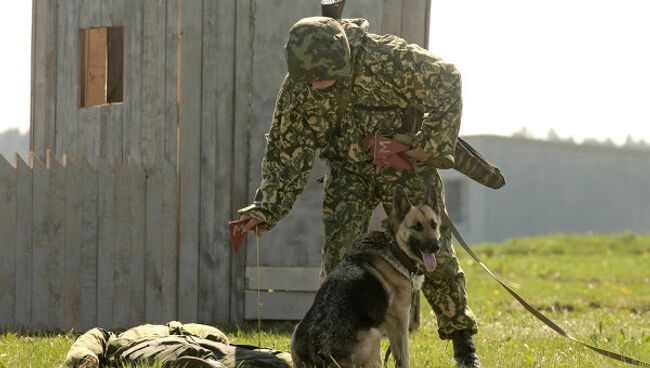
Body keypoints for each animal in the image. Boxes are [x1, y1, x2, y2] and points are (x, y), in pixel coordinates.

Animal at [292, 187, 440, 368]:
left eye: (434, 225)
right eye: (416, 227)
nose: (436, 247)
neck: (394, 246)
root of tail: (319, 353)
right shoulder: (400, 320)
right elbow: (403, 356)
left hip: (295, 332)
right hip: (374, 336)